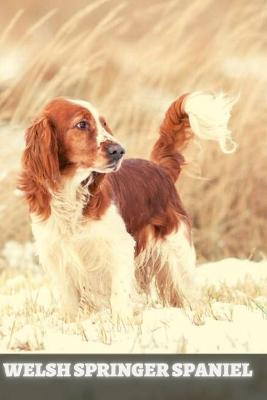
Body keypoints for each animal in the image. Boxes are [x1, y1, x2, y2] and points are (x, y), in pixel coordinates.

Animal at [19, 92, 237, 324]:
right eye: (82, 124)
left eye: (104, 123)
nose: (119, 151)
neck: (72, 193)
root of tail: (160, 168)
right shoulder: (55, 253)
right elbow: (67, 298)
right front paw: (70, 323)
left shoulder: (120, 247)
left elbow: (119, 293)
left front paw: (122, 323)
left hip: (179, 250)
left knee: (192, 292)